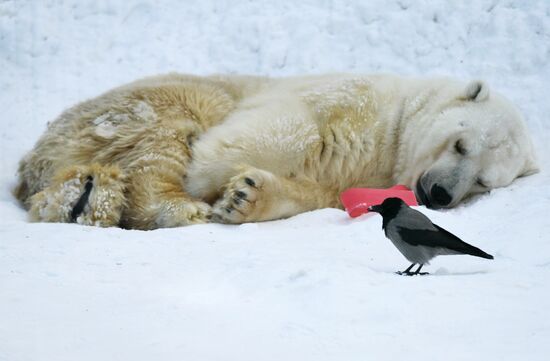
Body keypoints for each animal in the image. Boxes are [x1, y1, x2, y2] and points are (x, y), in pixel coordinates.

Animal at [12, 73, 540, 228]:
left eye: (484, 181)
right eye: (460, 143)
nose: (439, 194)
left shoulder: (361, 174)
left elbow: (322, 191)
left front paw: (244, 195)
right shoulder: (355, 100)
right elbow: (294, 124)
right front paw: (210, 173)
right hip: (149, 103)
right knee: (166, 135)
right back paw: (179, 205)